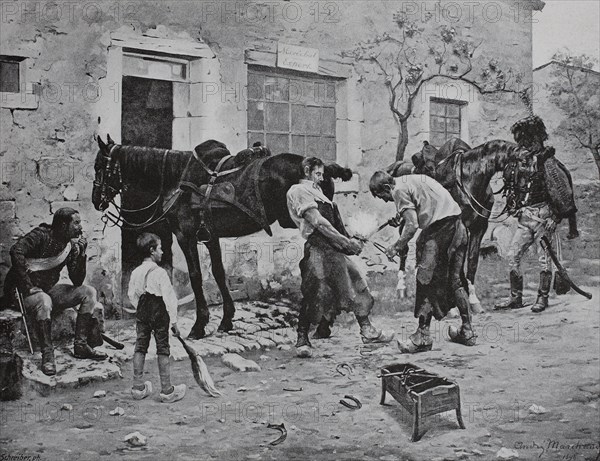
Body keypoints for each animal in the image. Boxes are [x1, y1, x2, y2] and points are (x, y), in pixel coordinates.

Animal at [92, 136, 354, 338]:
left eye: (99, 167)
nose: (96, 200)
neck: (177, 178)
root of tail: (323, 167)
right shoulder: (210, 236)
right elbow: (218, 273)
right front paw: (227, 319)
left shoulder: (185, 235)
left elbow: (196, 276)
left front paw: (199, 325)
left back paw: (324, 322)